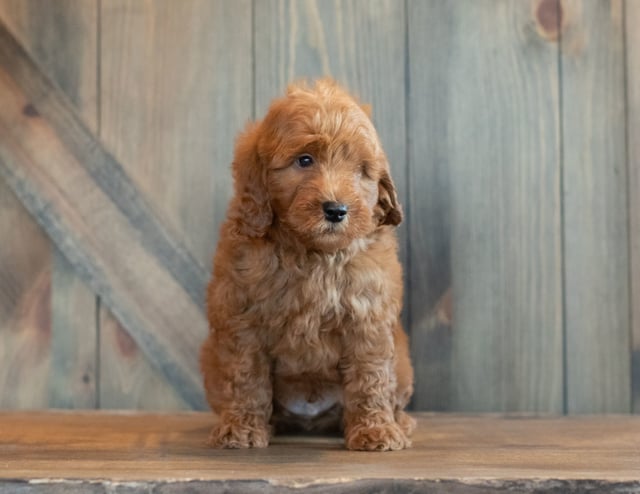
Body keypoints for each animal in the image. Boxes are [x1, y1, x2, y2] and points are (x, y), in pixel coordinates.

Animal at [202, 78, 418, 452]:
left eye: (360, 170)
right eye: (305, 160)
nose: (336, 210)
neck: (314, 253)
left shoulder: (368, 318)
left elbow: (371, 377)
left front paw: (375, 431)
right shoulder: (241, 317)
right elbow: (246, 376)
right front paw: (241, 428)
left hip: (404, 364)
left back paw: (399, 423)